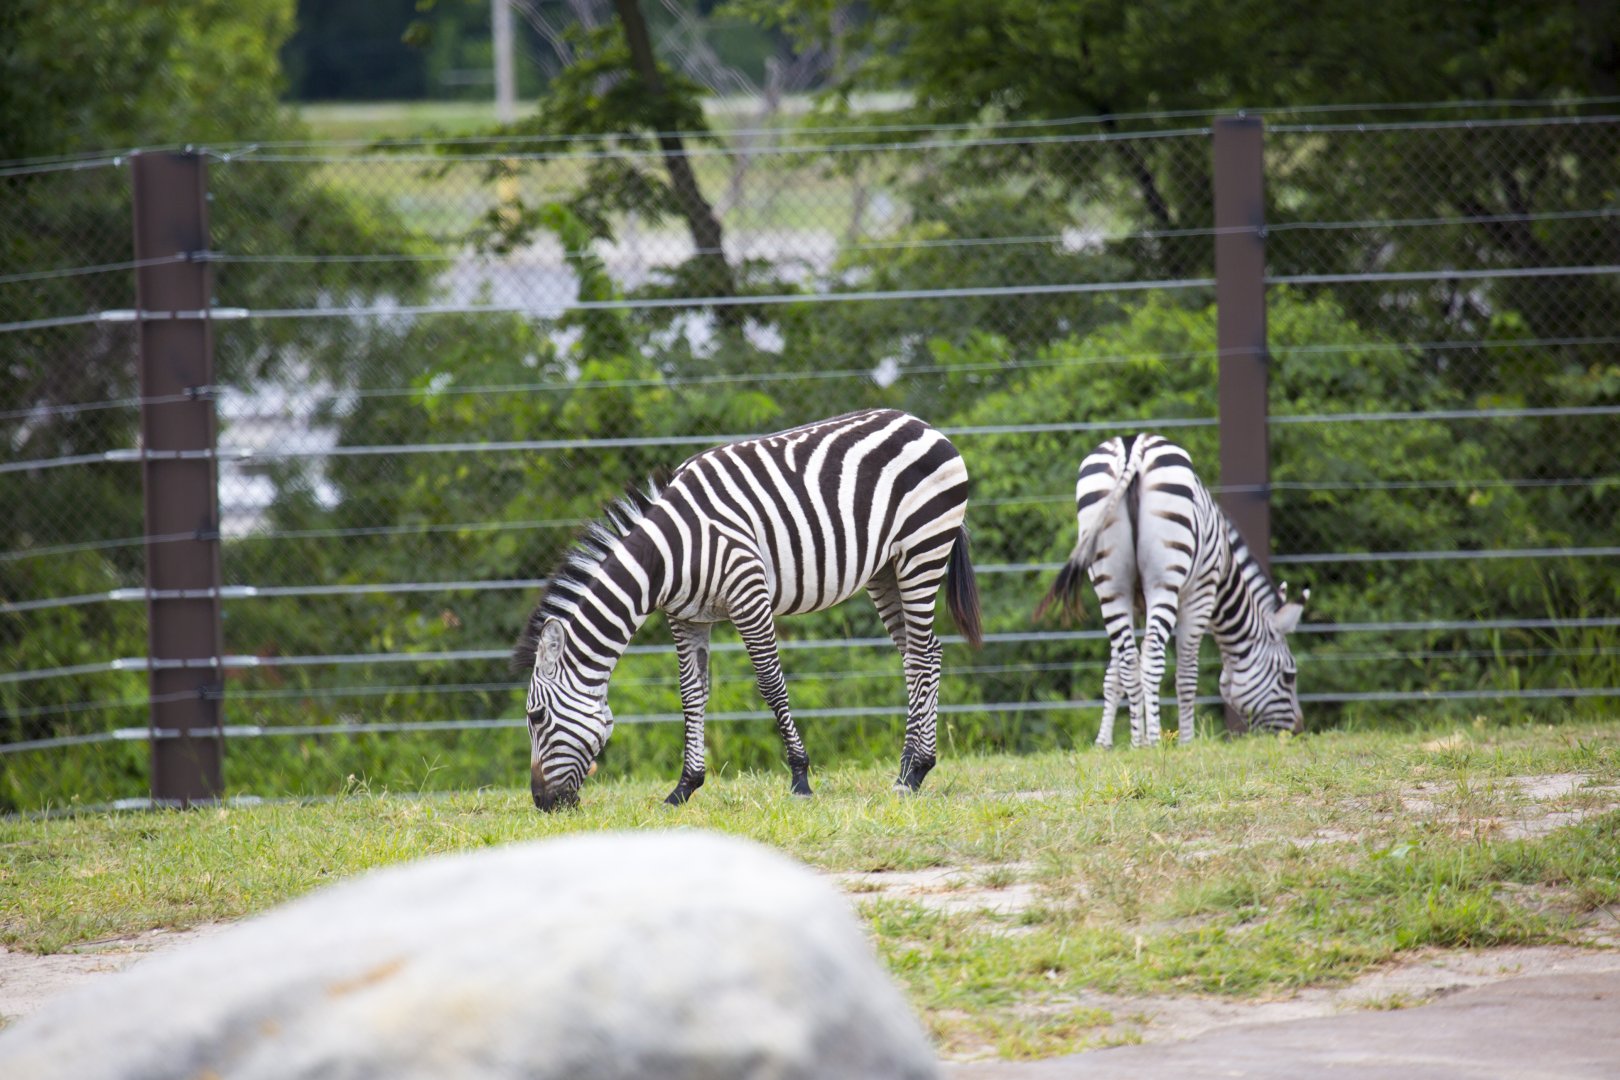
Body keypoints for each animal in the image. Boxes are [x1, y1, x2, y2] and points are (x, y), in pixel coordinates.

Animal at [514, 408, 983, 810]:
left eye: (536, 716)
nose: (541, 803)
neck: (669, 554)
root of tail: (923, 424)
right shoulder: (685, 618)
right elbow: (692, 695)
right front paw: (684, 788)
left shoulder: (749, 595)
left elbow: (771, 685)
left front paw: (800, 778)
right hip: (885, 570)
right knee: (923, 654)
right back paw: (915, 767)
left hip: (922, 549)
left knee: (921, 655)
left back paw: (911, 773)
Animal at [1037, 433, 1306, 747]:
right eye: (1289, 676)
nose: (1298, 732)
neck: (1225, 565)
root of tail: (1132, 448)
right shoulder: (1200, 593)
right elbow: (1187, 674)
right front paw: (1187, 742)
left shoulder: (1134, 602)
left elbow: (1114, 675)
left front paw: (1105, 743)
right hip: (1163, 582)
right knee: (1152, 657)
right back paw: (1154, 741)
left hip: (1110, 585)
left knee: (1130, 661)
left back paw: (1138, 742)